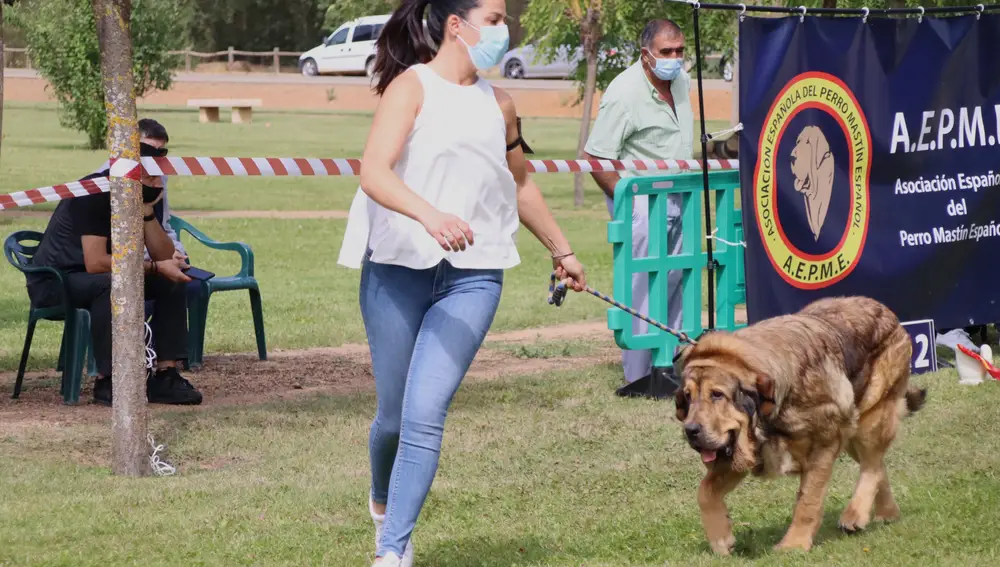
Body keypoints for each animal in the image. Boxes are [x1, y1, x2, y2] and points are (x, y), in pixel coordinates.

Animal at [676, 298, 924, 556]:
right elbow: (705, 491)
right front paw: (721, 539)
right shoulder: (740, 453)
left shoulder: (825, 441)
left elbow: (808, 500)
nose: (690, 430)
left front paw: (793, 544)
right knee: (877, 465)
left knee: (872, 465)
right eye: (688, 397)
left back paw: (855, 515)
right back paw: (886, 513)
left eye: (717, 394)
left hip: (871, 416)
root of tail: (884, 310)